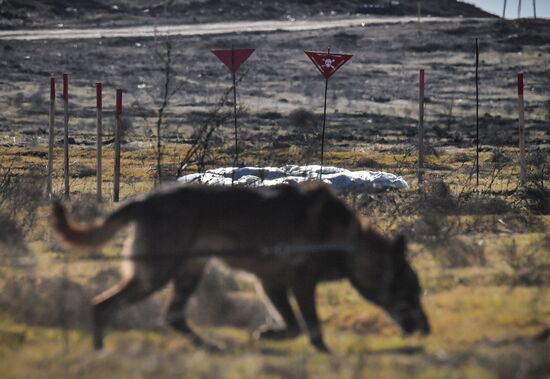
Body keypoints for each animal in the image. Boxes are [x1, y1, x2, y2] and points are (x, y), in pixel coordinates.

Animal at [52, 183, 432, 352]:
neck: (348, 241)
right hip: (155, 275)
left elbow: (293, 325)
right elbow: (311, 326)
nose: (428, 330)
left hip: (188, 272)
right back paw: (100, 351)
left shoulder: (271, 284)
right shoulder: (300, 284)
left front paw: (271, 333)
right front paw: (322, 353)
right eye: (412, 291)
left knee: (171, 315)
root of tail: (146, 200)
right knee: (103, 304)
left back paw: (208, 347)